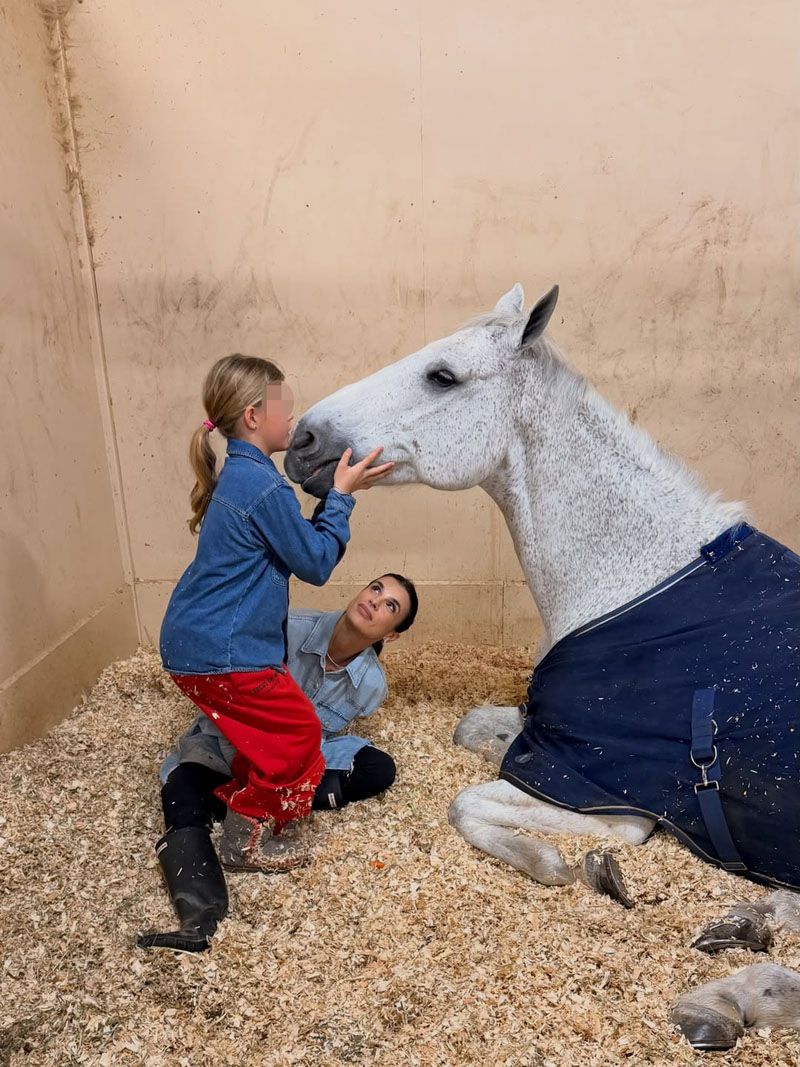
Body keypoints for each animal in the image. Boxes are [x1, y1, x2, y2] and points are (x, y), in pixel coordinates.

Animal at [284, 283, 800, 1050]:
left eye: (443, 375)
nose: (302, 440)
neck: (632, 585)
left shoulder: (607, 796)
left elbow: (468, 803)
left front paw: (554, 865)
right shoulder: (546, 743)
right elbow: (473, 731)